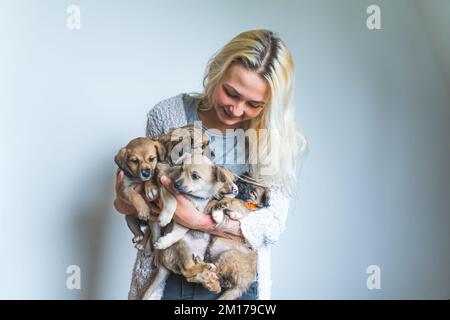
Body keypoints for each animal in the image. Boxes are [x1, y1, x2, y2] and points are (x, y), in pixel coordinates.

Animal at [142, 154, 239, 300]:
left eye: (195, 176)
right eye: (181, 169)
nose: (176, 184)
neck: (195, 196)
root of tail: (164, 264)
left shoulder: (196, 214)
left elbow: (184, 228)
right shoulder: (165, 184)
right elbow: (172, 200)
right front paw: (165, 219)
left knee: (189, 273)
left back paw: (208, 273)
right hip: (182, 246)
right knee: (187, 271)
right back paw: (206, 268)